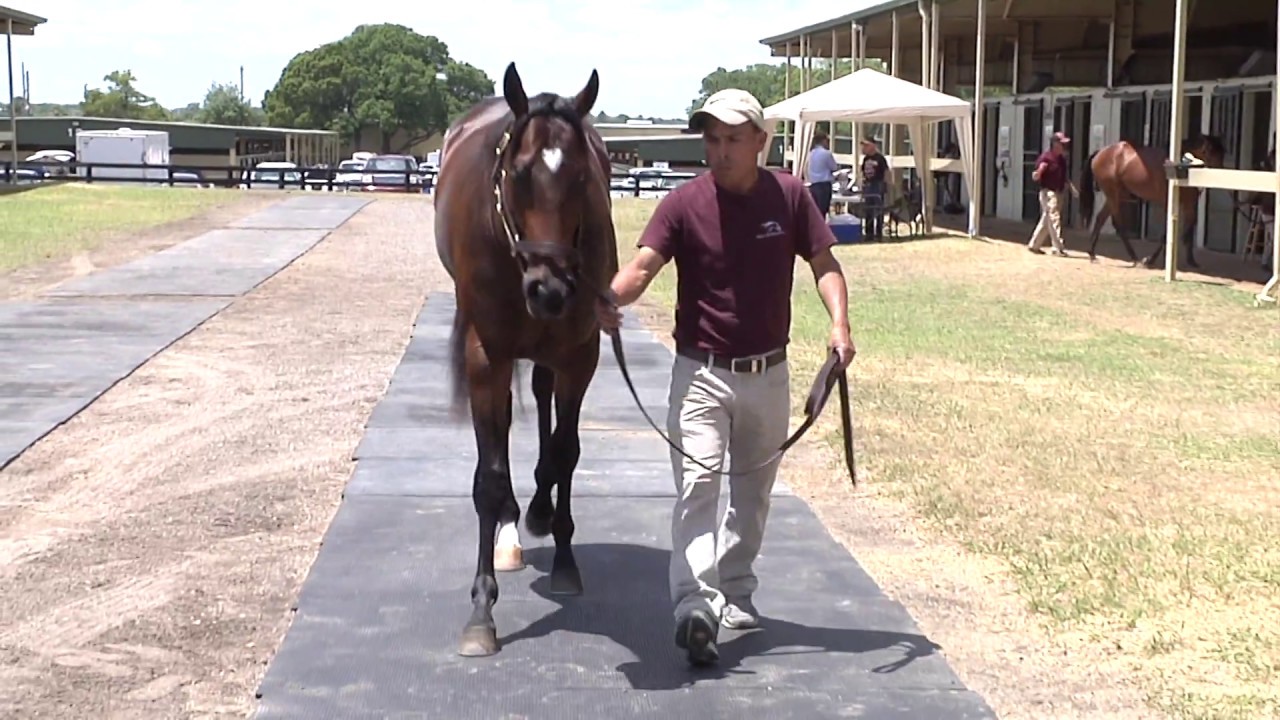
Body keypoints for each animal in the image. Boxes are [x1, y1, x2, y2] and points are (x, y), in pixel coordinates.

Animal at [432, 62, 619, 657]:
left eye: (583, 177)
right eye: (517, 174)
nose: (550, 289)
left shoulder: (580, 354)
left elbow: (565, 452)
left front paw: (560, 549)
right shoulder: (485, 355)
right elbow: (489, 479)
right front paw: (481, 610)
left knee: (539, 400)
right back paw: (511, 529)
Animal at [1078, 133, 1226, 269]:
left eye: (1222, 154)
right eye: (1211, 153)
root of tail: (1099, 153)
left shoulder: (1189, 205)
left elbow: (1189, 229)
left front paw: (1191, 261)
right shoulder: (1168, 203)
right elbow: (1166, 233)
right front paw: (1149, 260)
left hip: (1114, 196)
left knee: (1100, 219)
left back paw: (1092, 254)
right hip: (1113, 194)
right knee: (1118, 224)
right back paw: (1135, 258)